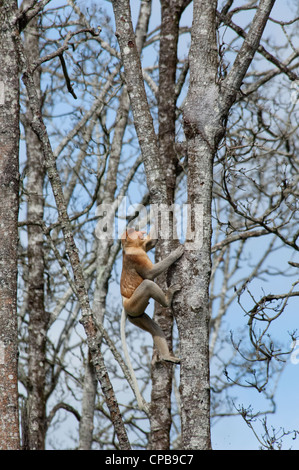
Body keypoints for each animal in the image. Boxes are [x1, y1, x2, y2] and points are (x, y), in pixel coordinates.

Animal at [120, 227, 184, 364]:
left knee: (154, 328)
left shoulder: (142, 246)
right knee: (147, 284)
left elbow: (152, 242)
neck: (130, 247)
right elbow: (150, 273)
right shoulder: (136, 257)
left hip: (135, 316)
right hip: (134, 305)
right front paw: (176, 253)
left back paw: (167, 357)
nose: (141, 232)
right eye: (133, 232)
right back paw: (167, 299)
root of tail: (125, 302)